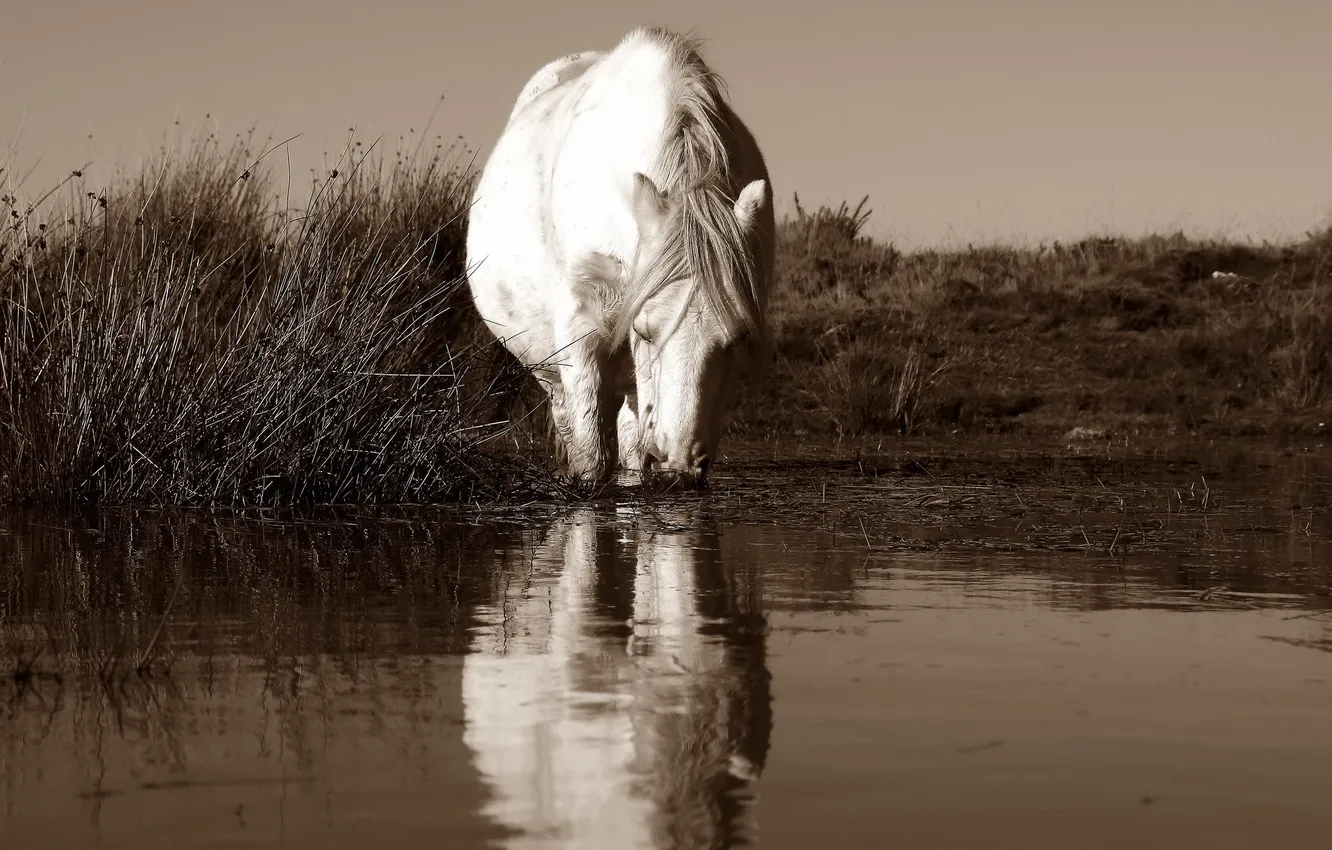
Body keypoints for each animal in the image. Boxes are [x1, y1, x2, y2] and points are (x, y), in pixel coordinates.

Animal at [466, 26, 772, 490]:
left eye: (737, 339)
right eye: (644, 332)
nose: (677, 468)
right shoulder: (581, 329)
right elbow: (591, 460)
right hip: (555, 371)